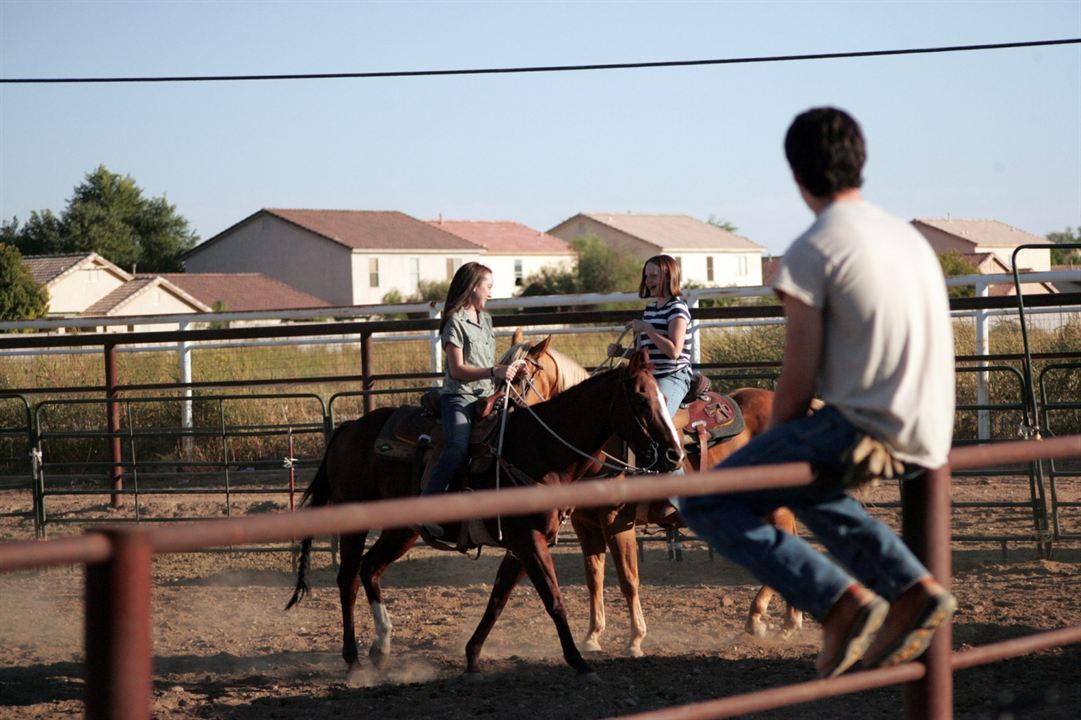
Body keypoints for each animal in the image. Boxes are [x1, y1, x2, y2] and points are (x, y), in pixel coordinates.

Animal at [283, 350, 678, 674]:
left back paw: (382, 647)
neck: (540, 448)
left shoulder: (522, 545)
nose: (674, 454)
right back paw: (352, 659)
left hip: (403, 530)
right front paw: (579, 662)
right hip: (353, 520)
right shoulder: (529, 540)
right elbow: (554, 600)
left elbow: (498, 599)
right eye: (641, 398)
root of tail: (349, 428)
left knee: (370, 569)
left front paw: (472, 656)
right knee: (347, 579)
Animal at [501, 341, 799, 657]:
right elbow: (594, 578)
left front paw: (635, 639)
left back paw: (758, 618)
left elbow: (628, 579)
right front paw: (593, 636)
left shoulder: (617, 519)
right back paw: (787, 623)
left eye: (520, 378)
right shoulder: (585, 524)